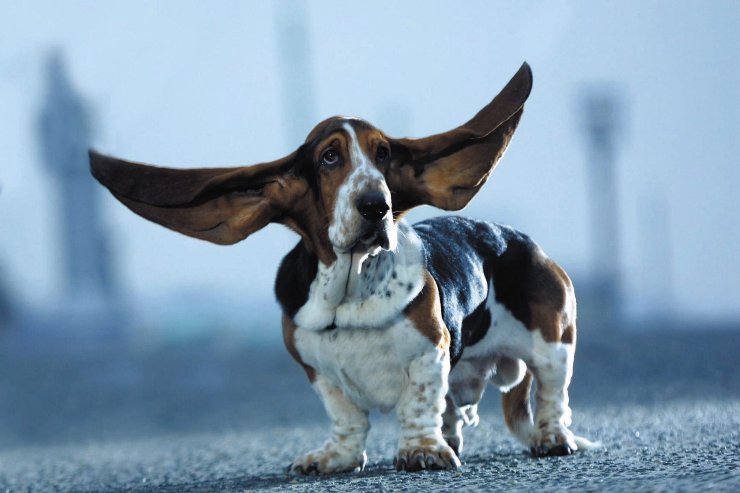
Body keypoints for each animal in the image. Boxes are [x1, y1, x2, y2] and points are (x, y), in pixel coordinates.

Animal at [91, 62, 596, 472]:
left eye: (384, 155)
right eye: (329, 156)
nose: (376, 205)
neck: (351, 293)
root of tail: (521, 240)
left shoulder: (429, 353)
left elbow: (419, 404)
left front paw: (421, 451)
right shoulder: (318, 371)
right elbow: (347, 416)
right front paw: (336, 458)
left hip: (554, 343)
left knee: (551, 396)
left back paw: (552, 438)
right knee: (458, 409)